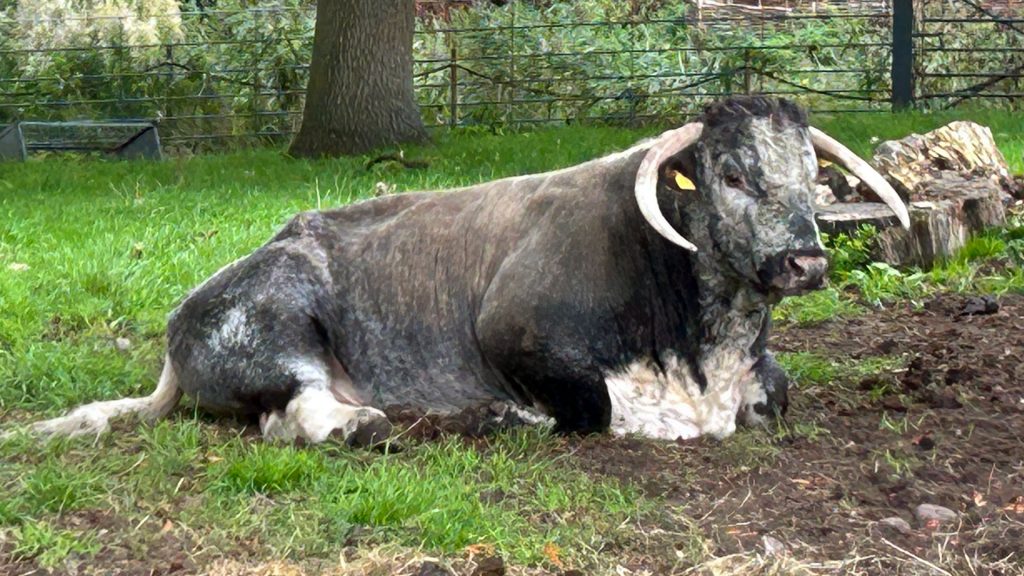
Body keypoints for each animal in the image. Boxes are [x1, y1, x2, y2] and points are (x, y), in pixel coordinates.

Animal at [16, 97, 908, 446]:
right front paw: (512, 414)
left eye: (813, 176)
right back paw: (385, 424)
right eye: (731, 174)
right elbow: (593, 408)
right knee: (302, 414)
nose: (804, 259)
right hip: (276, 323)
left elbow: (778, 392)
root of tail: (182, 319)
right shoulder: (516, 334)